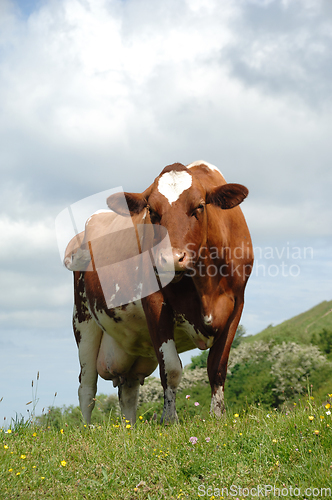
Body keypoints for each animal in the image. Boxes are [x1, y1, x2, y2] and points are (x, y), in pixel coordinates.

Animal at [63, 162, 253, 424]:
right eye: (152, 211)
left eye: (199, 206)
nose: (171, 259)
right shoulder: (154, 302)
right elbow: (171, 369)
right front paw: (170, 420)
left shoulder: (237, 304)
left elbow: (217, 367)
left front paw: (218, 417)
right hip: (83, 320)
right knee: (87, 386)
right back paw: (86, 428)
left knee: (128, 390)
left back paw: (130, 428)